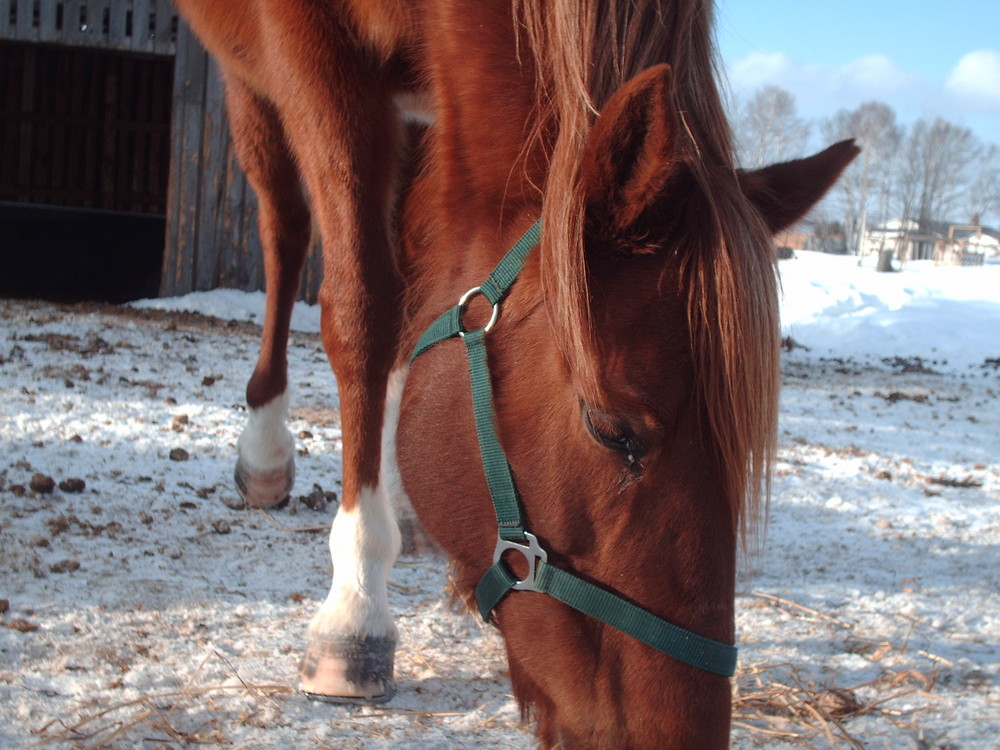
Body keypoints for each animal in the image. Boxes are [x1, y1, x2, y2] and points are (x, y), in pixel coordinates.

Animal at [174, 0, 860, 748]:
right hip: (252, 82)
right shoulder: (309, 51)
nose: (684, 736)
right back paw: (268, 453)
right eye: (610, 429)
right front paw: (354, 612)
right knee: (286, 229)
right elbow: (361, 307)